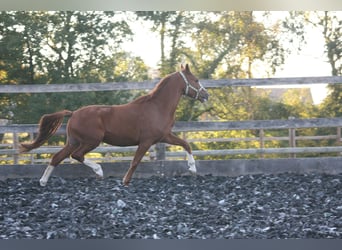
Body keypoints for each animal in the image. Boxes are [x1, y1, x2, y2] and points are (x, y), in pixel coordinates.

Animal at [21, 64, 210, 186]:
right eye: (195, 79)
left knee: (57, 157)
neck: (157, 107)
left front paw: (193, 169)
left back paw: (43, 181)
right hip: (91, 141)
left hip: (73, 141)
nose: (206, 95)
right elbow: (135, 161)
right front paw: (125, 181)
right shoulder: (146, 141)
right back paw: (99, 171)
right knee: (77, 155)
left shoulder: (164, 137)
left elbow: (186, 144)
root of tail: (73, 113)